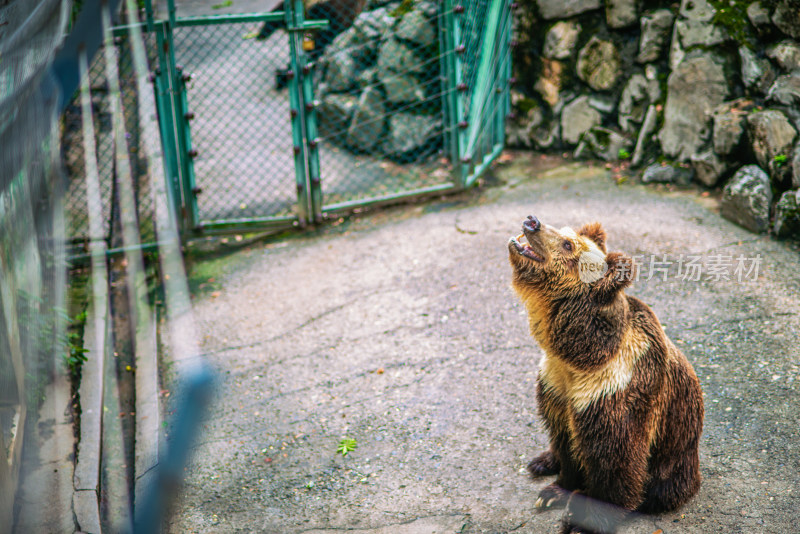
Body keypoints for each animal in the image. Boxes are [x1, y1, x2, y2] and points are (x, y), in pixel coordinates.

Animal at [510, 216, 704, 532]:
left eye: (568, 244)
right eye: (565, 231)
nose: (532, 221)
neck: (580, 356)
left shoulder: (616, 387)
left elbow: (615, 459)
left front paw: (582, 520)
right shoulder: (555, 384)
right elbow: (566, 441)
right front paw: (554, 492)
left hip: (675, 461)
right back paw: (542, 461)